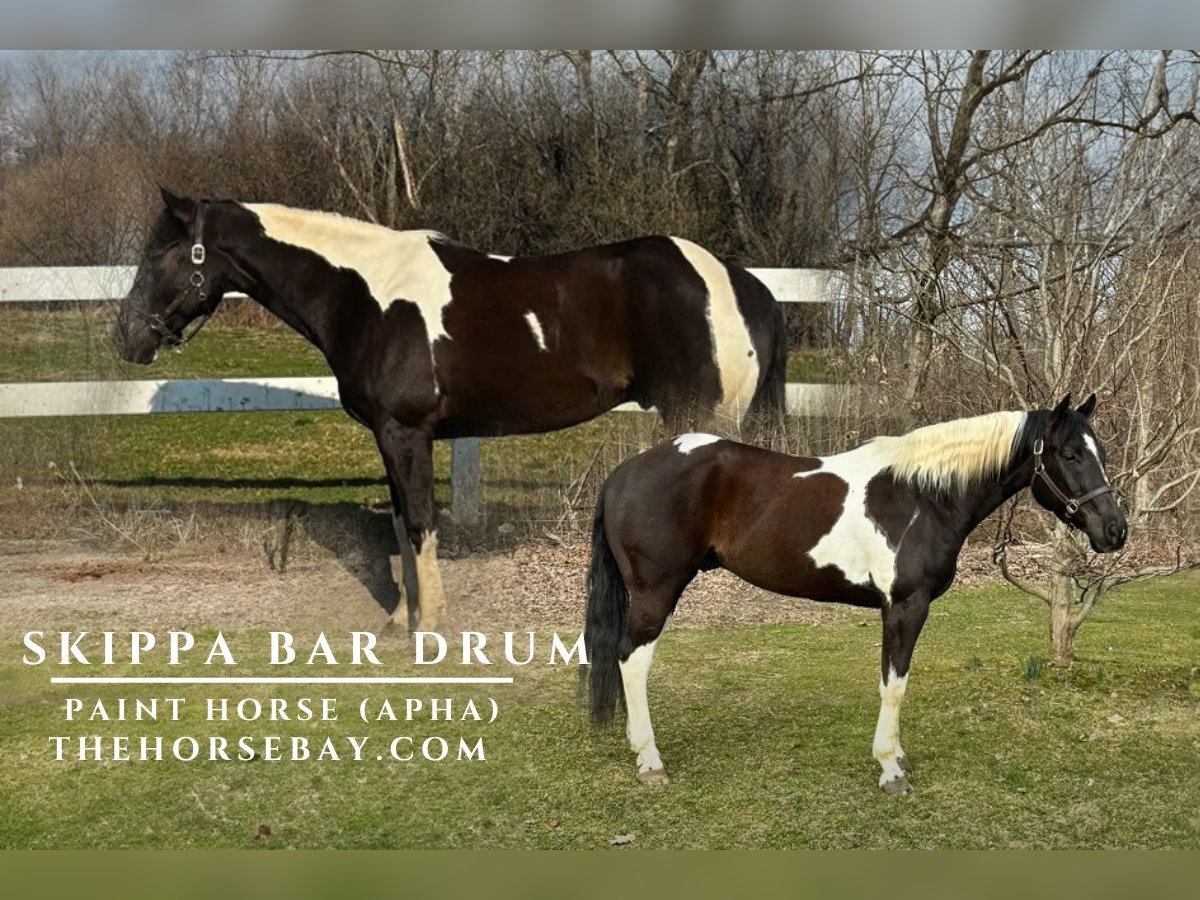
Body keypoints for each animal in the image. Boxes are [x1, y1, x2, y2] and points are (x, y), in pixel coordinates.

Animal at [112, 190, 787, 628]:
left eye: (161, 254)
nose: (127, 338)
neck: (366, 295)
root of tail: (739, 280)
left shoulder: (406, 432)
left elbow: (418, 524)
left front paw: (429, 627)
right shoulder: (389, 438)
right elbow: (398, 525)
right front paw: (398, 623)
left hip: (697, 419)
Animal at [585, 398, 1128, 792]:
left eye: (1098, 451)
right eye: (1070, 454)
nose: (1115, 530)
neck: (924, 496)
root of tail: (624, 473)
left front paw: (897, 755)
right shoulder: (904, 607)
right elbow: (895, 684)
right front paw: (890, 768)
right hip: (656, 592)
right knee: (632, 661)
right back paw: (650, 761)